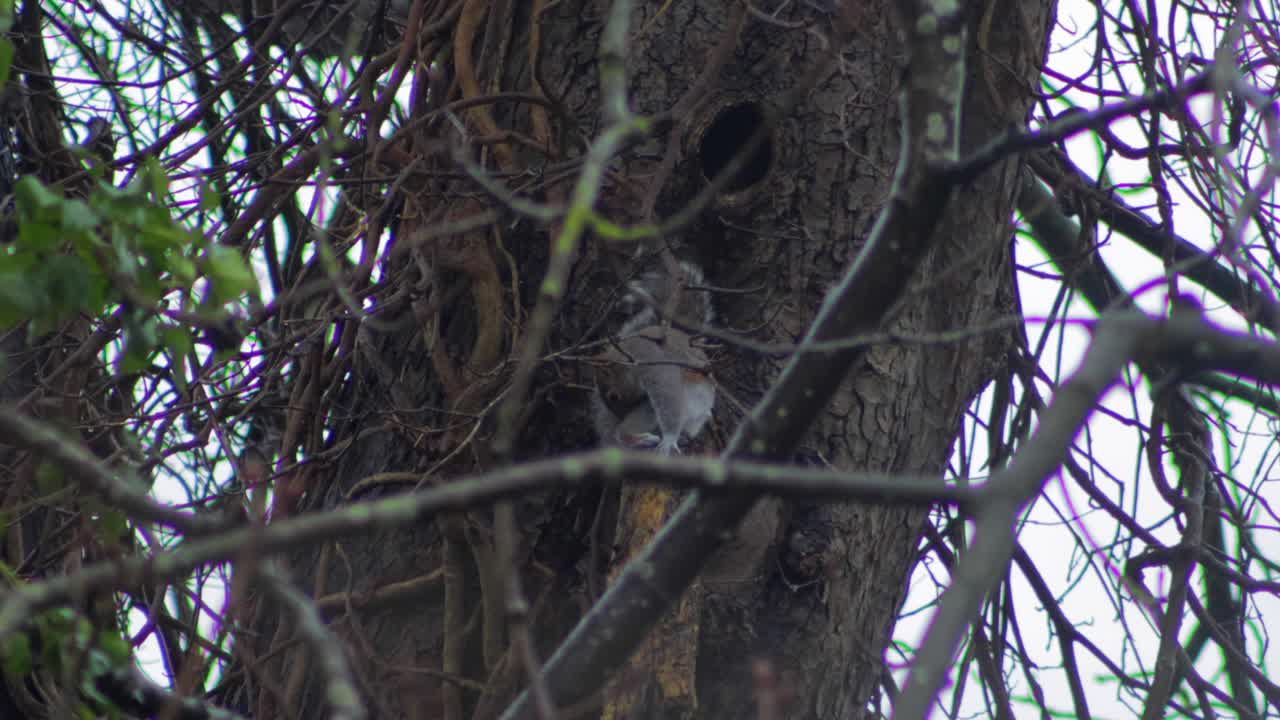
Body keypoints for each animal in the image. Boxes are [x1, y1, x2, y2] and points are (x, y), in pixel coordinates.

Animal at [591, 260, 716, 454]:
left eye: (614, 396)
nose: (619, 416)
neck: (631, 356)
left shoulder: (654, 363)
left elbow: (669, 397)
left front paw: (669, 440)